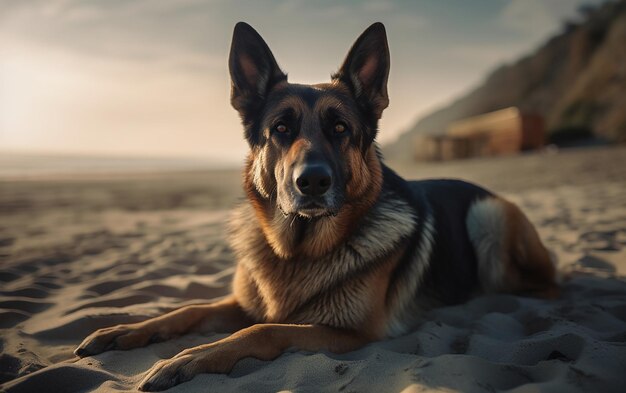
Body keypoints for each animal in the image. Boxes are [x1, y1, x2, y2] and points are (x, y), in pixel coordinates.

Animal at [74, 23, 556, 390]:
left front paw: (186, 359)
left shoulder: (350, 332)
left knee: (543, 282)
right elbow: (189, 310)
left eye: (340, 128)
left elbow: (262, 329)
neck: (297, 252)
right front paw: (126, 330)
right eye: (281, 128)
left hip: (489, 216)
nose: (313, 181)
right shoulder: (243, 301)